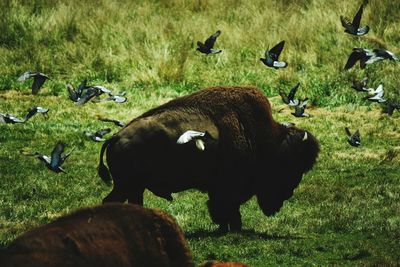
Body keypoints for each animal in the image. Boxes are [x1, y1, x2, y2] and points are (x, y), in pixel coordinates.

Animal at [97, 86, 318, 232]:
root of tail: (116, 136)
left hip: (133, 187)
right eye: (290, 164)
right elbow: (227, 208)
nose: (290, 192)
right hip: (127, 185)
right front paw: (232, 229)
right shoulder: (226, 188)